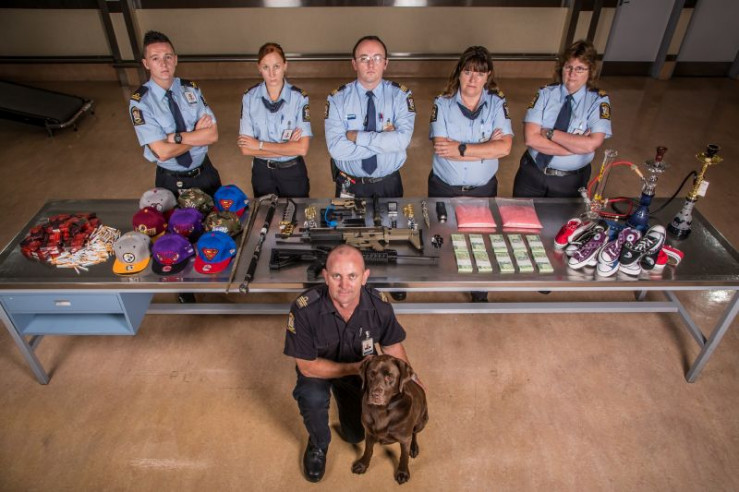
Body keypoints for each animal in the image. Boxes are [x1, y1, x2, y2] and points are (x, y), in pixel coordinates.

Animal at [352, 354, 428, 484]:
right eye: (371, 374)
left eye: (389, 376)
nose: (375, 395)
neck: (382, 410)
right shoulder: (369, 432)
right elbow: (368, 450)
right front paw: (362, 465)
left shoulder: (404, 438)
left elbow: (404, 456)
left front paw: (402, 473)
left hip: (422, 422)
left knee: (414, 434)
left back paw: (413, 448)